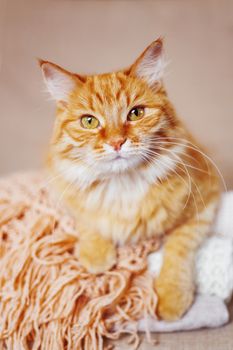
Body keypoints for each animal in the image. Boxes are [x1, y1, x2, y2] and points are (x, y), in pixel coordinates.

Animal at [40, 39, 220, 320]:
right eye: (89, 121)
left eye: (136, 113)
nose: (116, 142)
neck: (122, 185)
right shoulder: (64, 192)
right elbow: (86, 221)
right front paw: (96, 255)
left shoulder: (206, 200)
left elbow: (178, 247)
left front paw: (171, 297)